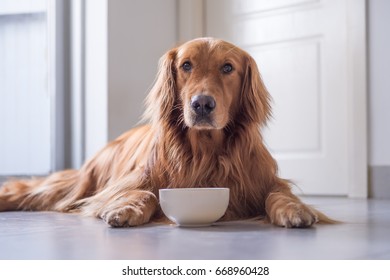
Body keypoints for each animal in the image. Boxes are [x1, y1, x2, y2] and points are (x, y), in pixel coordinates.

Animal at [0, 37, 332, 228]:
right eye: (186, 65)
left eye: (228, 68)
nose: (202, 104)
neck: (206, 151)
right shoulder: (127, 184)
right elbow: (145, 192)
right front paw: (127, 208)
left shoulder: (265, 180)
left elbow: (277, 195)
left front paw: (294, 209)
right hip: (80, 184)